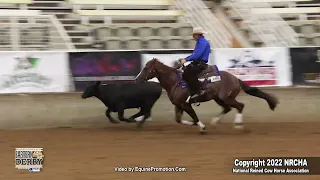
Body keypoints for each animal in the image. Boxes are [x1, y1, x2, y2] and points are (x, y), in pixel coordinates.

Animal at [134, 58, 278, 134]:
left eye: (146, 68)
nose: (137, 80)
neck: (175, 82)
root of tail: (235, 78)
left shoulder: (185, 104)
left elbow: (194, 116)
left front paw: (202, 127)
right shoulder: (178, 105)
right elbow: (178, 120)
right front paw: (193, 124)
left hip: (227, 98)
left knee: (240, 106)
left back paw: (238, 124)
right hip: (218, 98)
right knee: (227, 108)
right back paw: (215, 121)